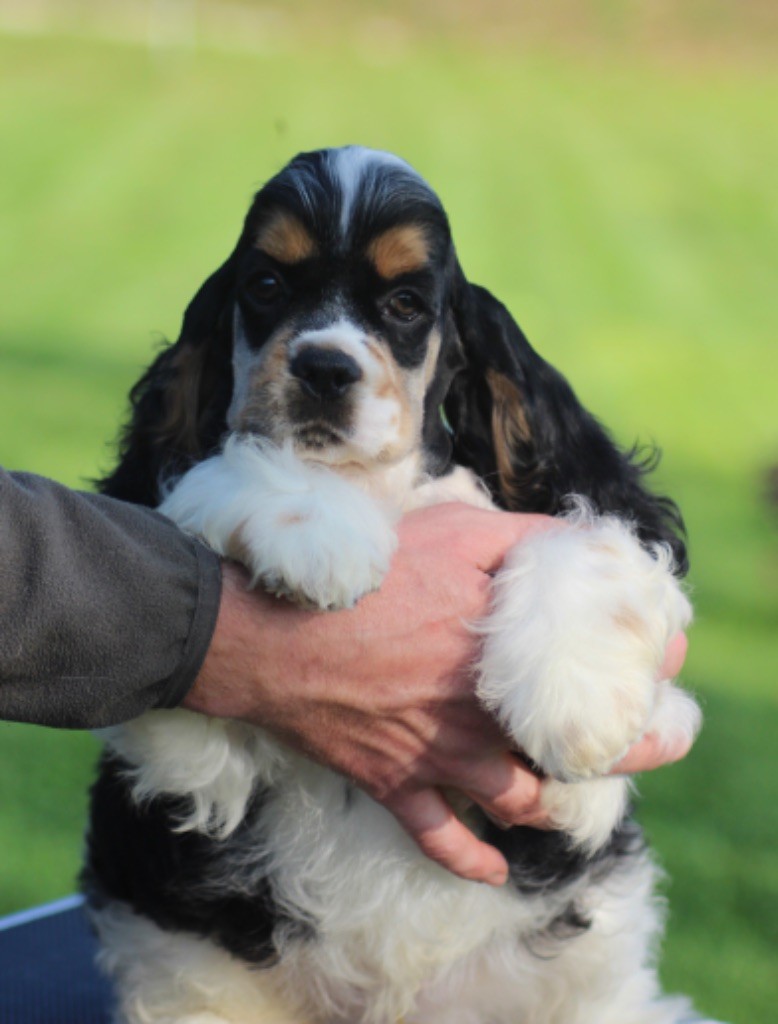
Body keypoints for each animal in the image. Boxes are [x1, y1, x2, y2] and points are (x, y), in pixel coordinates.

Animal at [83, 146, 716, 1024]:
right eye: (266, 285)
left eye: (407, 304)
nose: (323, 367)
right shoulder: (179, 753)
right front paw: (316, 528)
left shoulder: (642, 720)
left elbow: (587, 534)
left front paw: (573, 702)